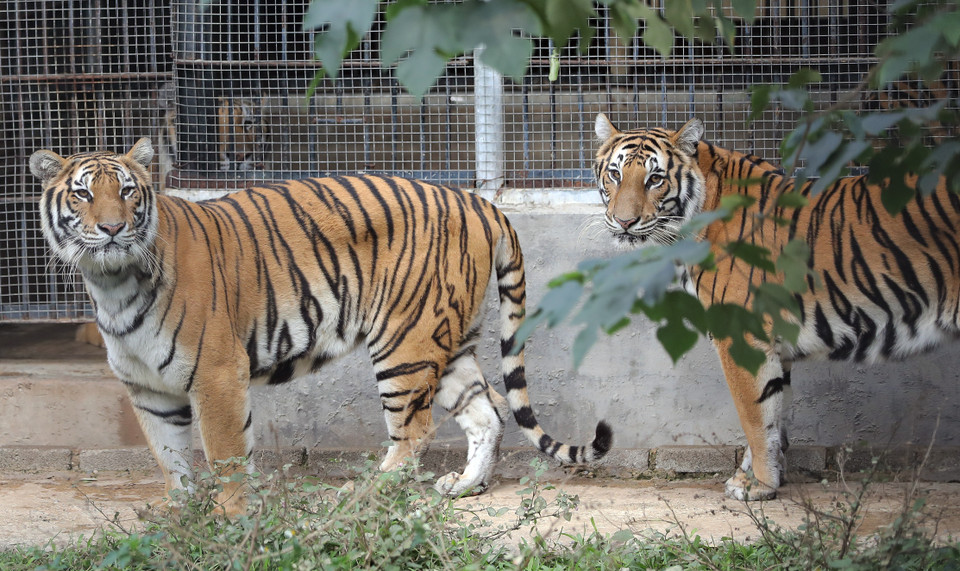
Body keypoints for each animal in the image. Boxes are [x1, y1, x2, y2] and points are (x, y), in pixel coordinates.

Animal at [29, 138, 612, 515]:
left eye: (128, 192)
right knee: (487, 411)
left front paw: (229, 522)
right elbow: (171, 461)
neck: (112, 283)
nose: (113, 229)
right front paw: (181, 518)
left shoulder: (216, 376)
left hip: (405, 342)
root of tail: (478, 200)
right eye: (83, 194)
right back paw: (465, 487)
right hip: (448, 342)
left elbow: (225, 458)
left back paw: (361, 497)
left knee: (415, 431)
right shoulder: (149, 390)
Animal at [593, 113, 958, 501]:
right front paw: (752, 476)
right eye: (615, 174)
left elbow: (754, 417)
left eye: (655, 179)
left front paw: (760, 486)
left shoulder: (741, 336)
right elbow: (773, 413)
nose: (624, 222)